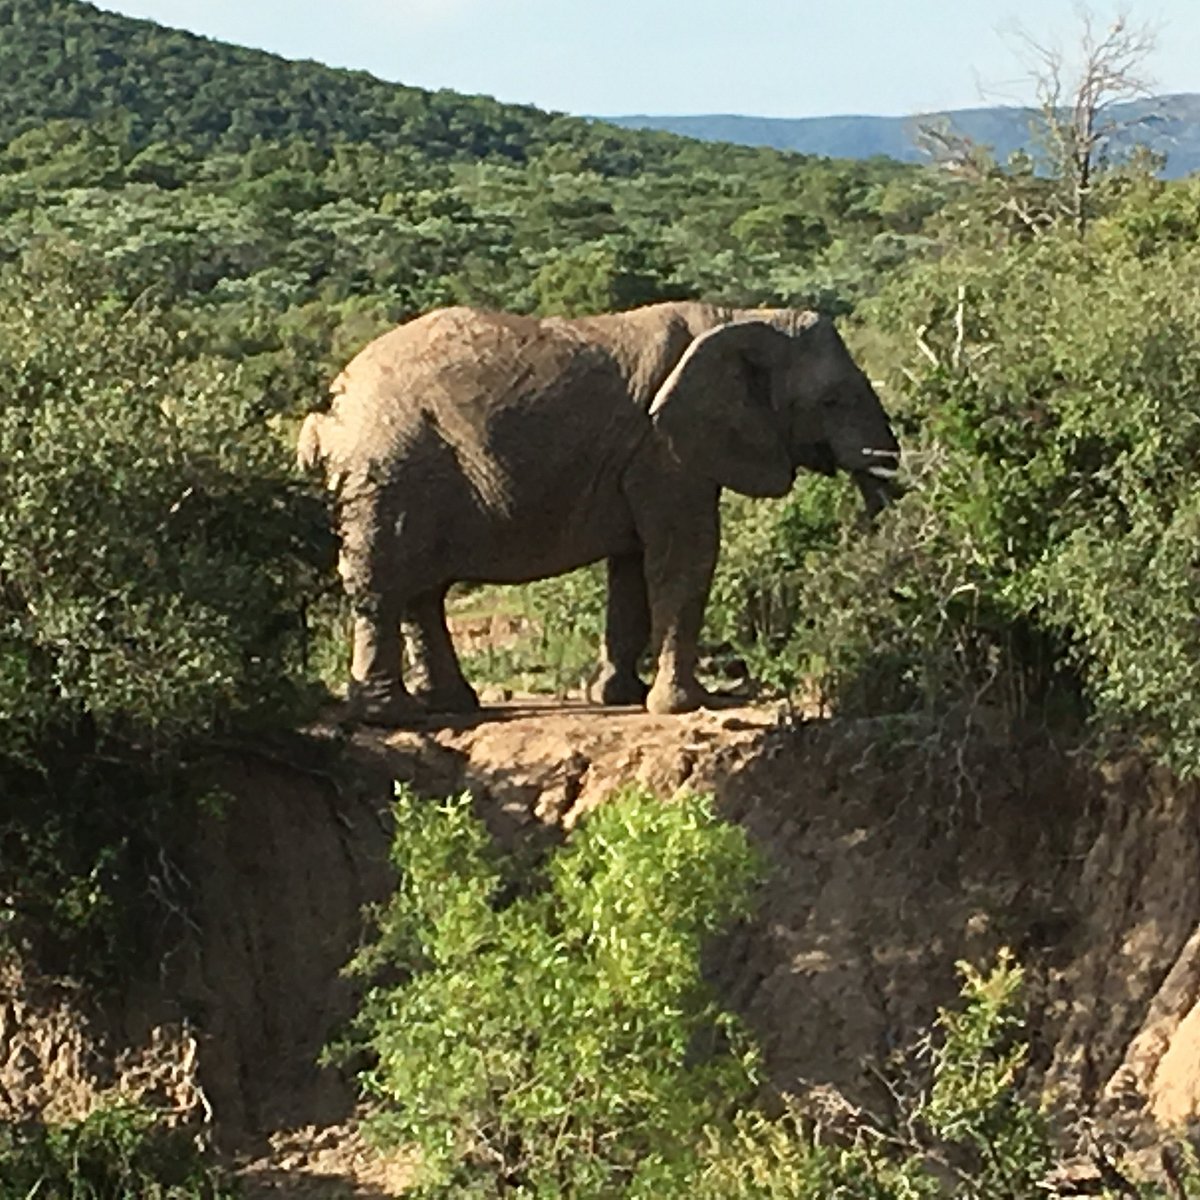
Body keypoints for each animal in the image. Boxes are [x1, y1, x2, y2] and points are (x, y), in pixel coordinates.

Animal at [297, 298, 902, 720]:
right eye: (832, 401)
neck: (742, 315)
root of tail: (323, 418)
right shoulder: (663, 448)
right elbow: (685, 555)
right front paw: (686, 705)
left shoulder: (645, 455)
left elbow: (632, 568)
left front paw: (620, 697)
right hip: (384, 470)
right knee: (384, 587)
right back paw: (390, 716)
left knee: (423, 590)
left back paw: (449, 705)